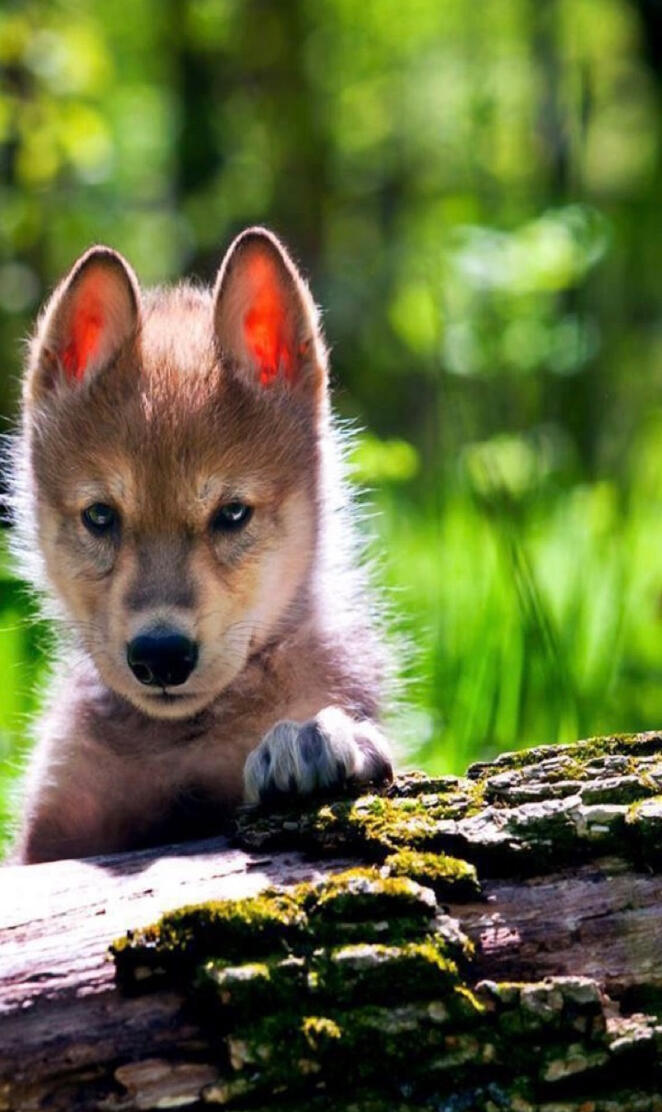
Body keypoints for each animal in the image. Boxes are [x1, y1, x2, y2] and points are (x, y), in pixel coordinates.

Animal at [11, 227, 393, 863]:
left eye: (232, 513)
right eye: (100, 516)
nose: (161, 655)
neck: (182, 743)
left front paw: (310, 741)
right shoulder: (47, 836)